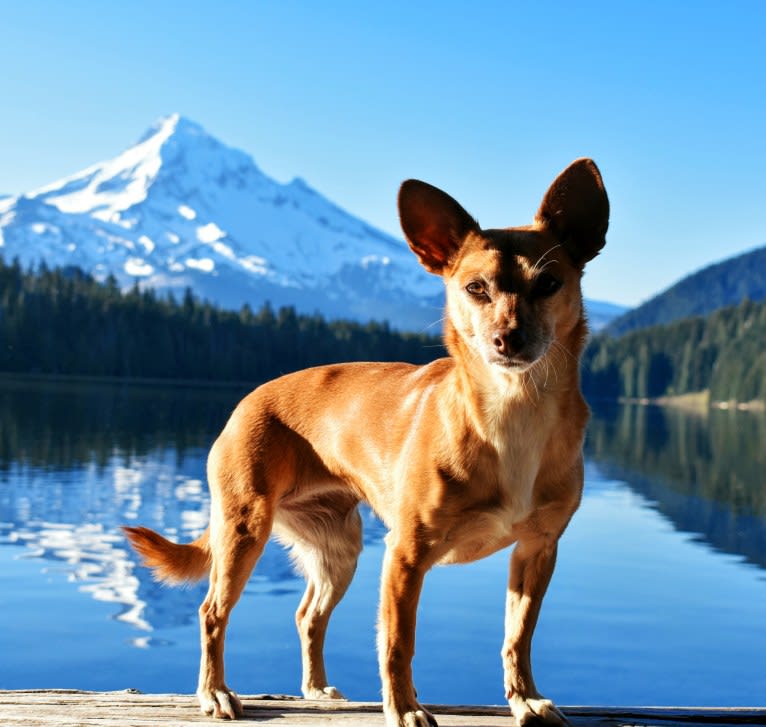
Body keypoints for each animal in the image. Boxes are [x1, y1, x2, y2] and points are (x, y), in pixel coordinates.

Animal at [126, 161, 612, 727]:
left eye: (550, 283)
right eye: (476, 288)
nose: (507, 339)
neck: (513, 410)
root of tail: (247, 400)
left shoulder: (537, 551)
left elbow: (518, 636)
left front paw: (524, 698)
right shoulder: (405, 556)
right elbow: (398, 642)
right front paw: (403, 708)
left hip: (338, 549)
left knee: (307, 615)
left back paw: (316, 690)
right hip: (244, 530)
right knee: (212, 611)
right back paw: (215, 693)